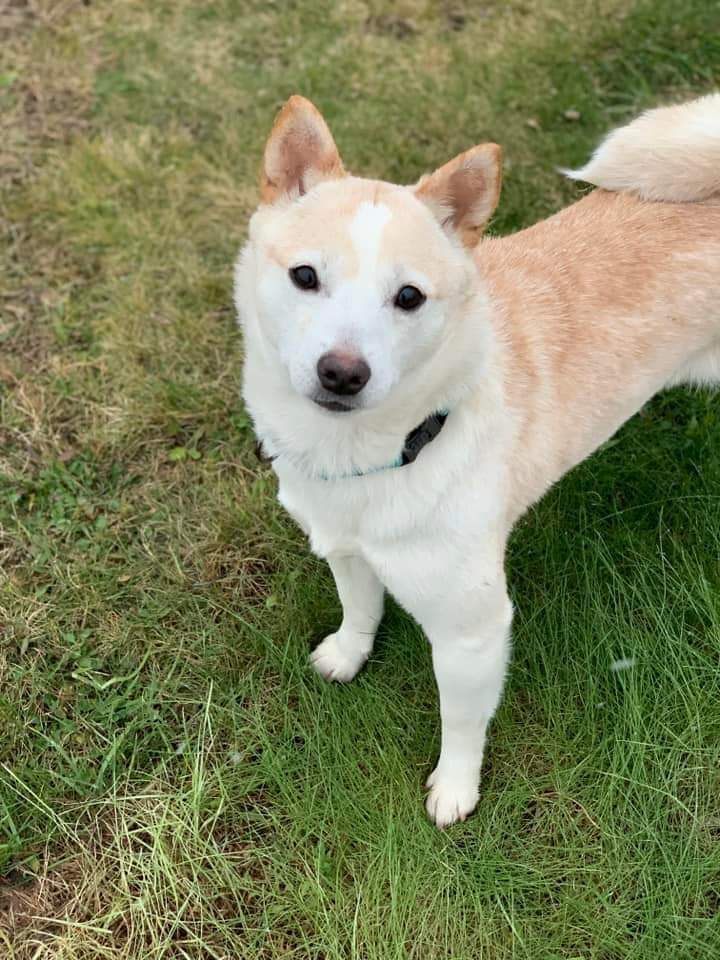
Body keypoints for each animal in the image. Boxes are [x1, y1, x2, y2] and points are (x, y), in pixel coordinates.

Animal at [236, 94, 720, 824]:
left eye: (409, 296)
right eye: (305, 276)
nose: (342, 373)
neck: (376, 453)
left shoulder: (473, 630)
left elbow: (461, 720)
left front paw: (455, 789)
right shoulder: (344, 546)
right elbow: (359, 607)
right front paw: (349, 653)